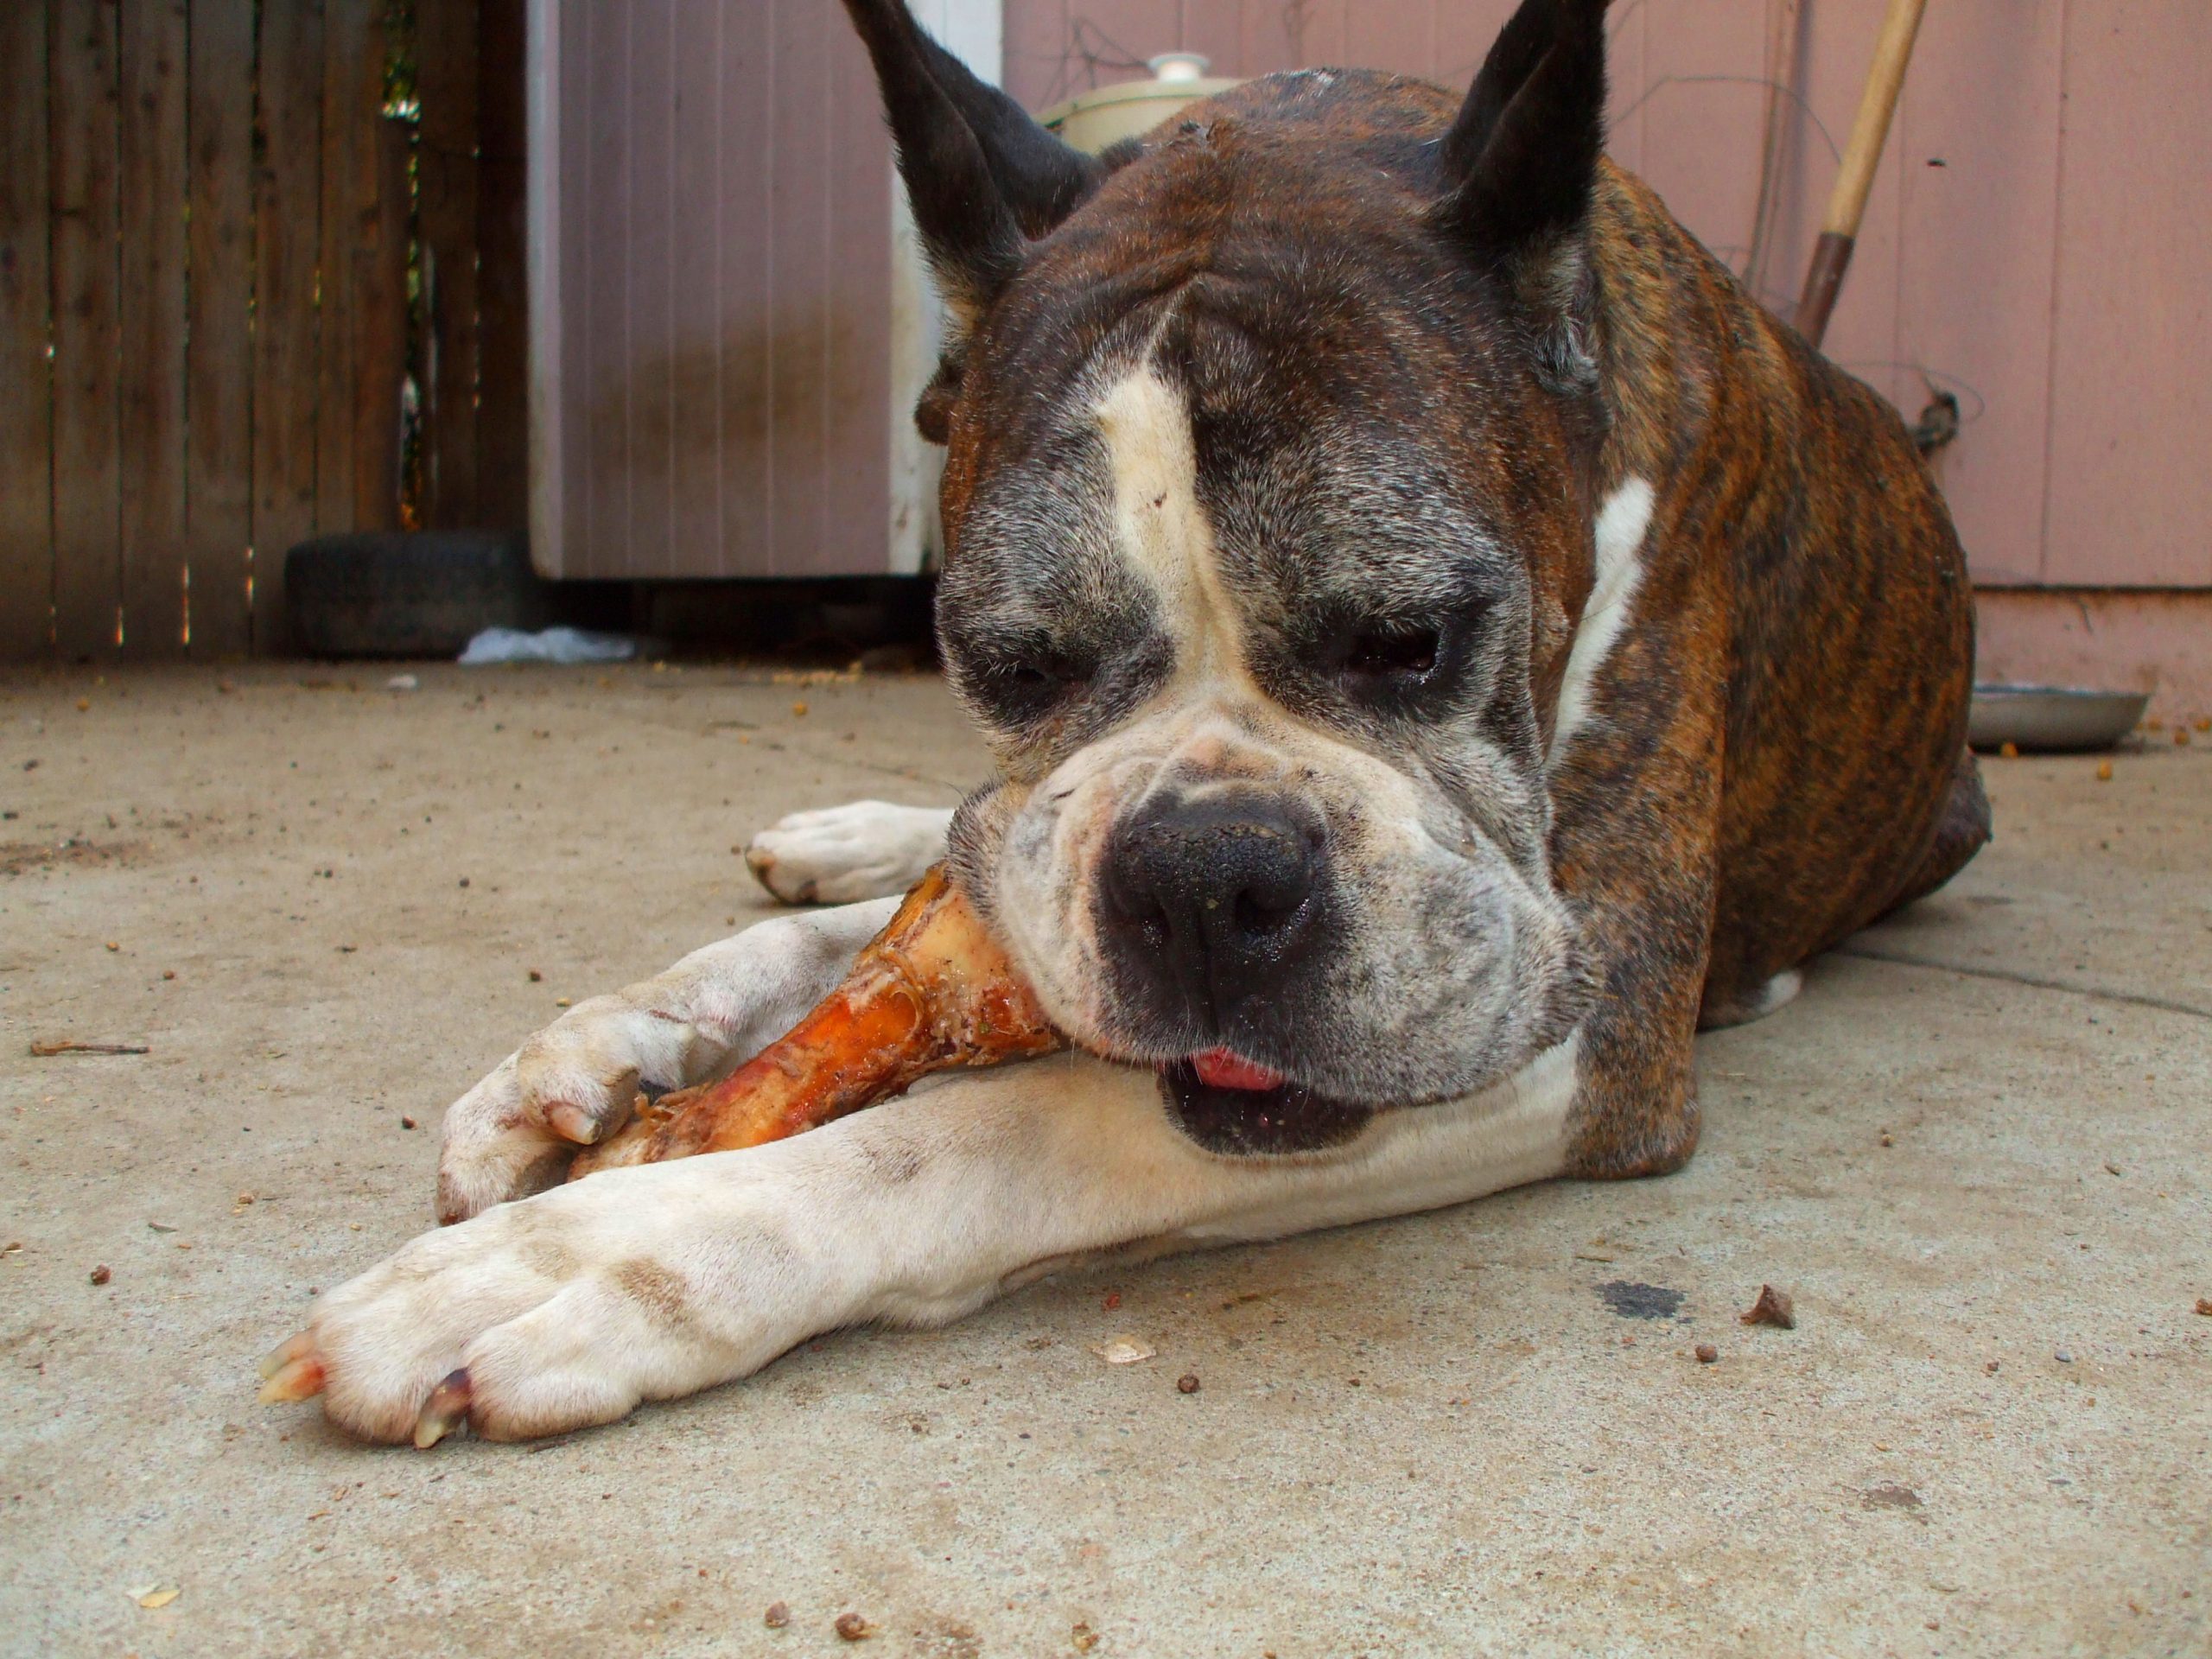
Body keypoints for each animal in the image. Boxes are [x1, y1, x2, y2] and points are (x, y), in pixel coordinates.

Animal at [271, 0, 1991, 1442]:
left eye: (1411, 640)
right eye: (1015, 665)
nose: (1207, 873)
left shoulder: (1591, 1019)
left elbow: (997, 1129)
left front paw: (592, 1259)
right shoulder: (1018, 868)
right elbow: (856, 954)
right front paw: (592, 1049)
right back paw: (832, 842)